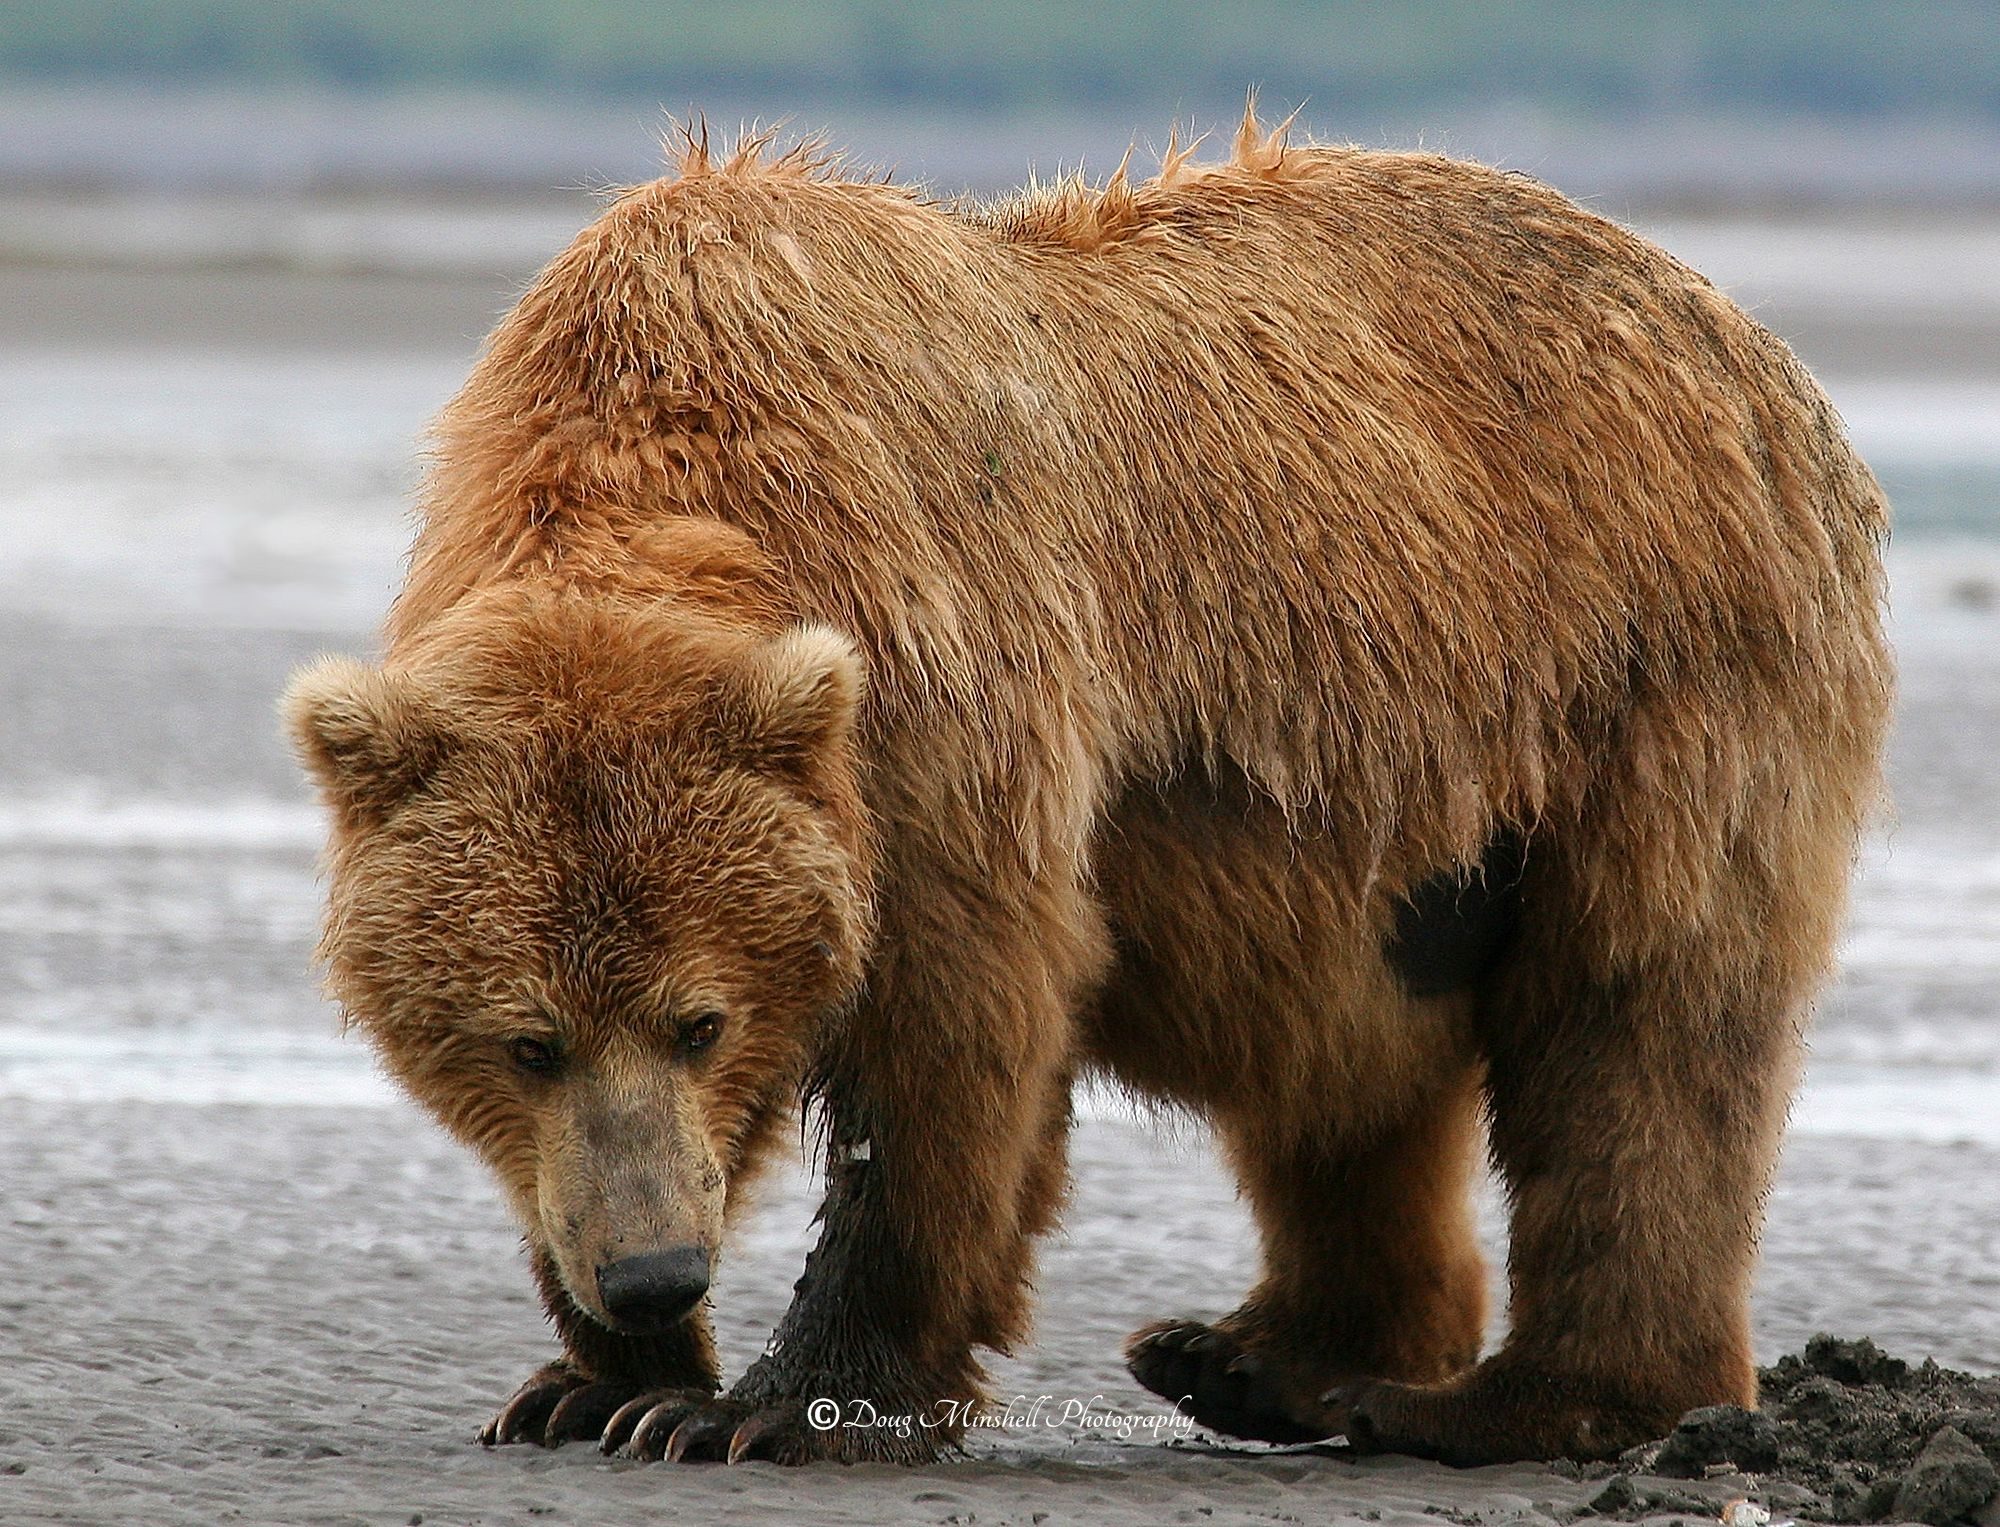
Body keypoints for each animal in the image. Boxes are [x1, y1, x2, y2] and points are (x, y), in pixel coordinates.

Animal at [283, 111, 1892, 1468]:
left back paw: (1513, 1398)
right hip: (1379, 839)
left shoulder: (942, 695)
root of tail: (1746, 332)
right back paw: (1255, 1357)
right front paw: (589, 1381)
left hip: (1648, 682)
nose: (654, 1272)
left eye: (703, 1018)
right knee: (1350, 1082)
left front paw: (767, 1407)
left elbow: (956, 1036)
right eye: (526, 1039)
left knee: (1640, 1032)